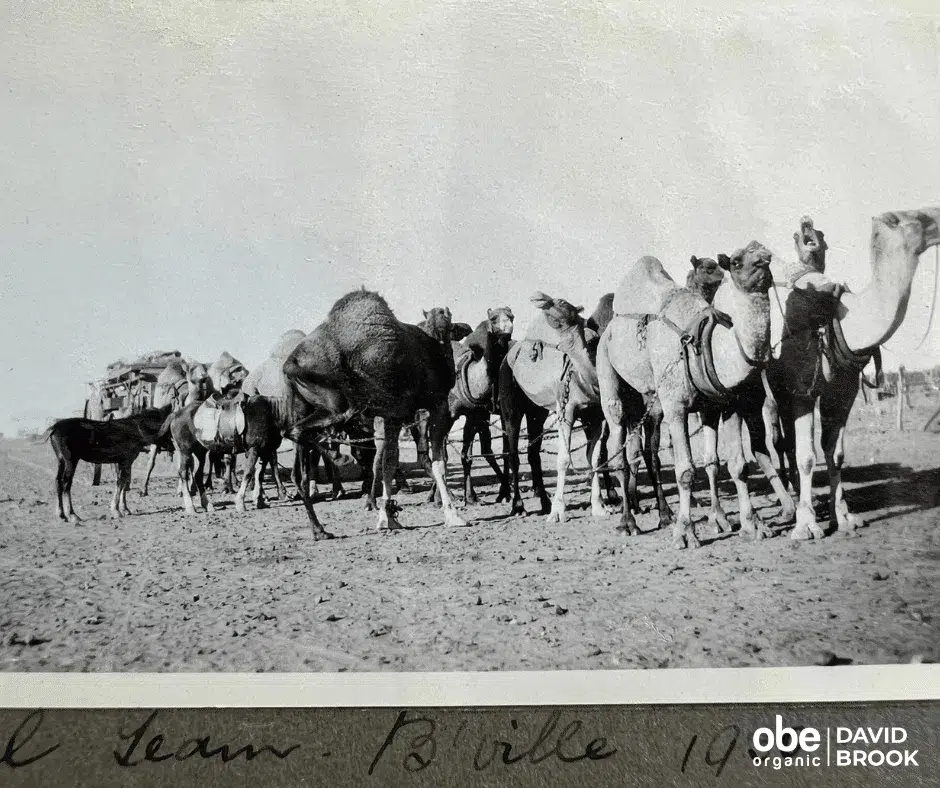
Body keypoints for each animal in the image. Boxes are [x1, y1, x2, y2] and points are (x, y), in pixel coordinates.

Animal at [281, 289, 465, 537]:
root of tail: (289, 365)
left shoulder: (394, 413)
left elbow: (389, 461)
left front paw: (388, 518)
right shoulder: (438, 404)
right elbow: (438, 461)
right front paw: (454, 515)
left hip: (302, 406)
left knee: (297, 468)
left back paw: (320, 530)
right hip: (338, 405)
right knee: (297, 432)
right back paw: (341, 459)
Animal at [499, 292, 611, 522]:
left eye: (562, 302)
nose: (538, 296)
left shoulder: (595, 417)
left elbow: (594, 458)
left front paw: (599, 507)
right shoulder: (565, 410)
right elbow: (563, 460)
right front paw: (558, 511)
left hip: (536, 411)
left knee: (533, 452)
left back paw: (544, 502)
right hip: (509, 400)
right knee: (513, 452)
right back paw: (519, 506)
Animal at [597, 244, 777, 548]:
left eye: (764, 251)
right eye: (737, 261)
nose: (764, 259)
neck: (703, 342)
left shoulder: (725, 405)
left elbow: (734, 465)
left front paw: (750, 524)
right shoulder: (676, 407)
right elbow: (685, 471)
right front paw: (685, 533)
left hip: (647, 400)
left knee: (640, 450)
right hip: (607, 371)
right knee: (618, 444)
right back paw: (628, 523)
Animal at [768, 208, 940, 539]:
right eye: (920, 218)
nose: (806, 225)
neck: (842, 321)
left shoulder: (843, 392)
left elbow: (834, 453)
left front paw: (844, 518)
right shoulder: (802, 391)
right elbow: (807, 456)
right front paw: (807, 526)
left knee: (786, 442)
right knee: (777, 441)